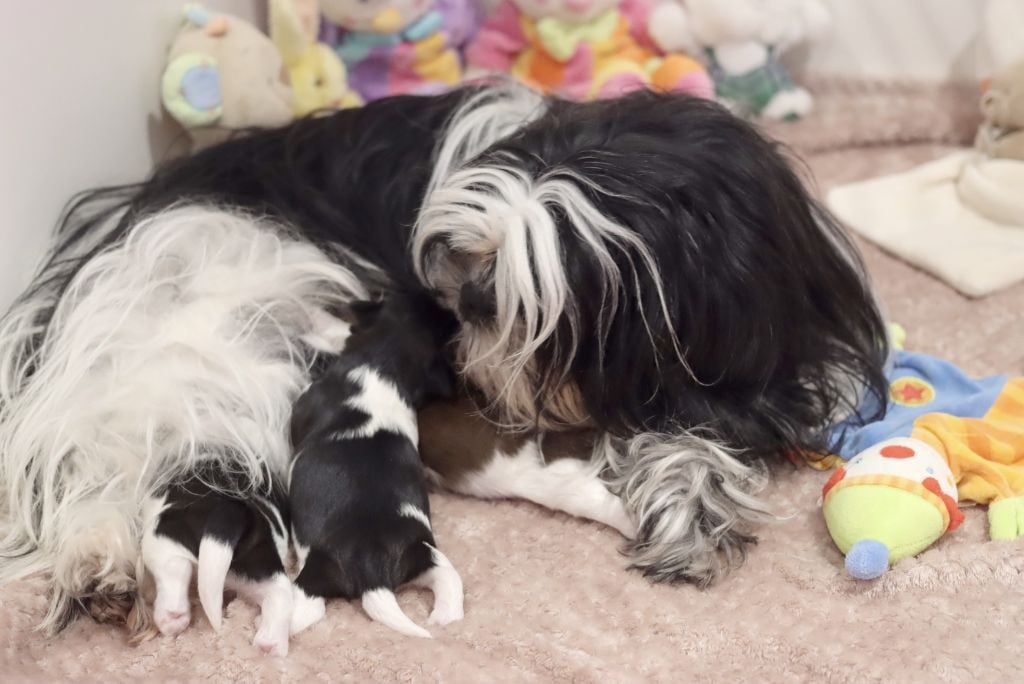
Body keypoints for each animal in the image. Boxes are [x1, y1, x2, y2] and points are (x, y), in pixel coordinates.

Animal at [140, 466, 292, 655]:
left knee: (174, 567)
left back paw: (172, 617)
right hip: (256, 564)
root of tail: (232, 508)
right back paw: (269, 645)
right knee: (279, 592)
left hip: (160, 538)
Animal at [288, 290, 464, 638]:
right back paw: (442, 620)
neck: (382, 365)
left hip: (313, 574)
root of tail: (374, 573)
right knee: (451, 586)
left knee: (302, 613)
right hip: (427, 556)